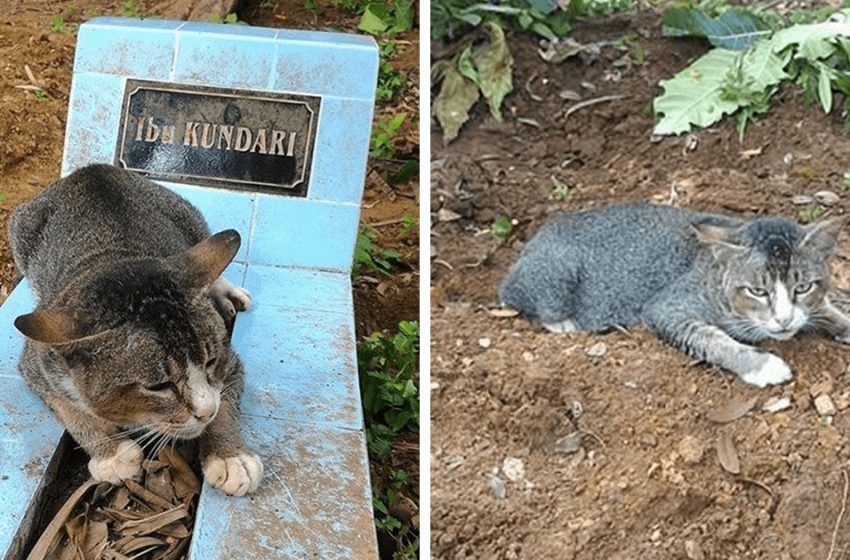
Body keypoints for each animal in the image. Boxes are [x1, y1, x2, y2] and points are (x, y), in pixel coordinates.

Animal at [7, 163, 262, 494]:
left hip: (188, 215)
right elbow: (68, 408)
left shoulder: (230, 362)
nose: (205, 411)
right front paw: (111, 453)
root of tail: (90, 170)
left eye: (211, 362)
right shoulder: (38, 360)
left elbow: (226, 398)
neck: (114, 260)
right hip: (20, 229)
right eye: (158, 386)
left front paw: (230, 456)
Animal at [500, 203, 848, 388]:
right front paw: (762, 365)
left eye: (802, 287)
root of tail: (532, 241)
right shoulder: (666, 308)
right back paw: (563, 324)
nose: (784, 319)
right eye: (757, 291)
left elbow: (828, 309)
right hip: (555, 279)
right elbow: (714, 340)